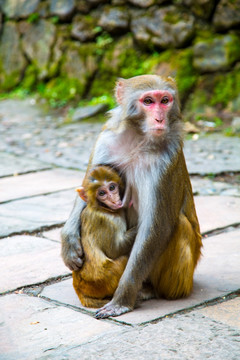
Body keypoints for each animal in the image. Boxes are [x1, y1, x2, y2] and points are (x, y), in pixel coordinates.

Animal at [72, 165, 136, 308]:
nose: (113, 198)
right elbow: (115, 250)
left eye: (112, 187)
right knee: (123, 258)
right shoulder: (106, 221)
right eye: (102, 193)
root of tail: (78, 290)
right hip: (103, 281)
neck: (102, 208)